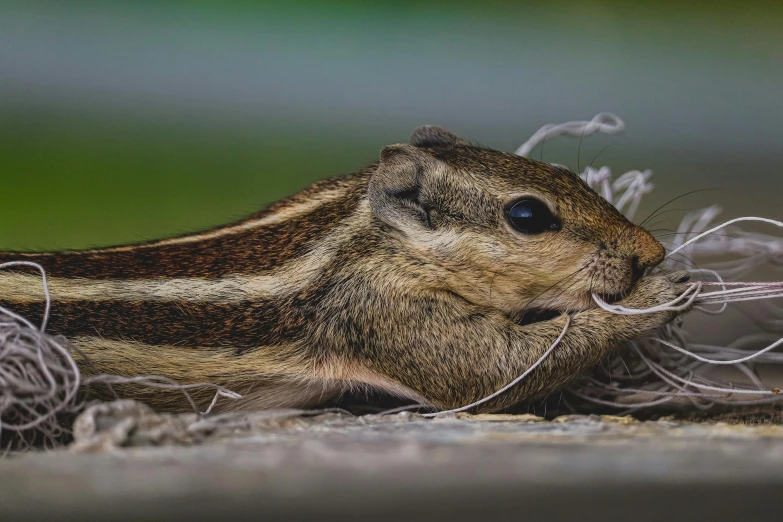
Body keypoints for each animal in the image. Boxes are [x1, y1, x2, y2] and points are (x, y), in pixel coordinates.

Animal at [0, 125, 688, 410]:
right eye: (527, 215)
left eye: (565, 172)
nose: (650, 251)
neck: (362, 229)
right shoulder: (382, 311)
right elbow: (494, 370)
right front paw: (659, 291)